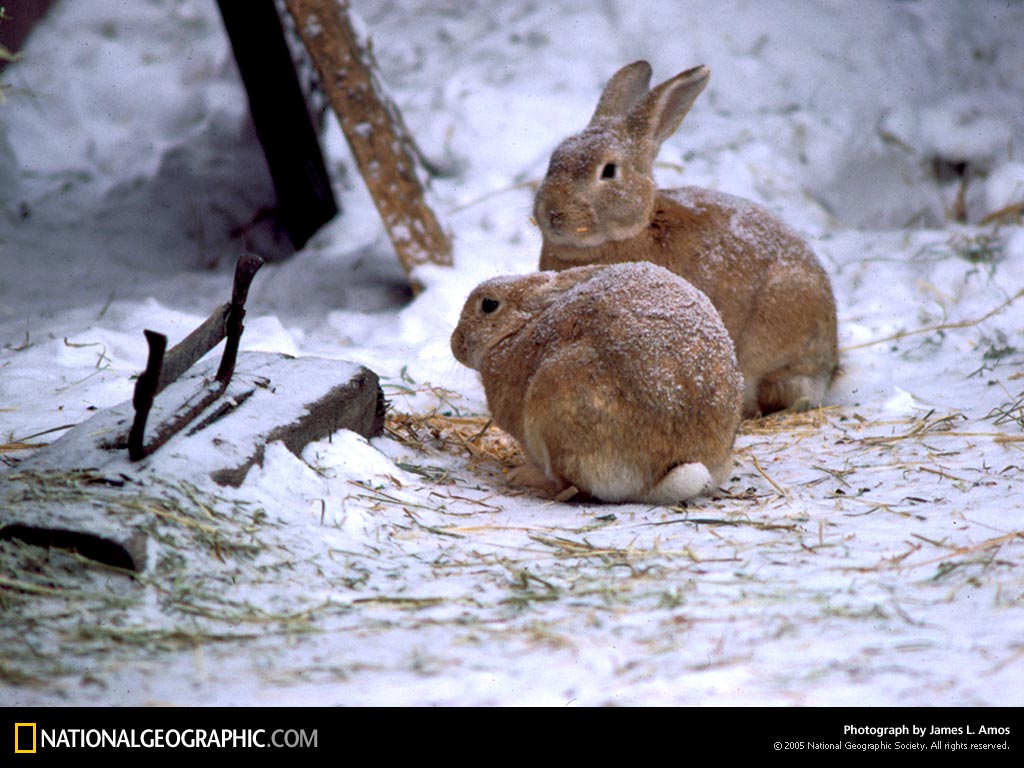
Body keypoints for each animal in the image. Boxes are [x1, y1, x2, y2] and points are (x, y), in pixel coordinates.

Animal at [452, 262, 741, 507]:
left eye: (489, 305)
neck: (520, 328)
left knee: (572, 488)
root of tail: (656, 476)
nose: (456, 343)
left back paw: (525, 478)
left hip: (557, 409)